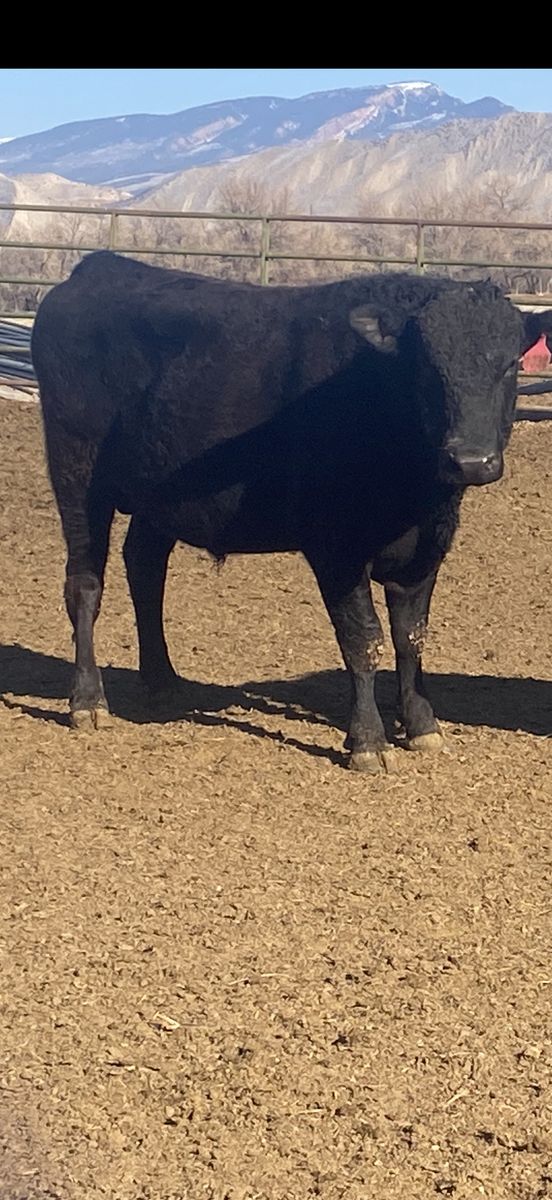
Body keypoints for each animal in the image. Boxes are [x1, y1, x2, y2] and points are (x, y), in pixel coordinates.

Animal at [31, 252, 549, 772]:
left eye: (510, 365)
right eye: (425, 367)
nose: (471, 460)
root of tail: (100, 267)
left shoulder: (425, 550)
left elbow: (410, 637)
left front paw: (422, 726)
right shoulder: (336, 549)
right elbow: (362, 640)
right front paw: (367, 741)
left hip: (159, 499)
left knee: (144, 568)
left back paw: (162, 681)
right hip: (77, 474)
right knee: (85, 584)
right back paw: (88, 701)